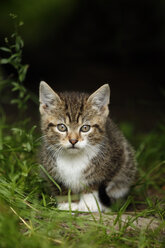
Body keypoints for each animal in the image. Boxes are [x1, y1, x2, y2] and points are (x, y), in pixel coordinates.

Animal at [39, 81, 137, 211]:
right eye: (62, 127)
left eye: (85, 128)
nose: (73, 140)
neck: (73, 159)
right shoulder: (48, 166)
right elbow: (59, 184)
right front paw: (67, 204)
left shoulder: (118, 157)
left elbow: (96, 183)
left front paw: (89, 204)